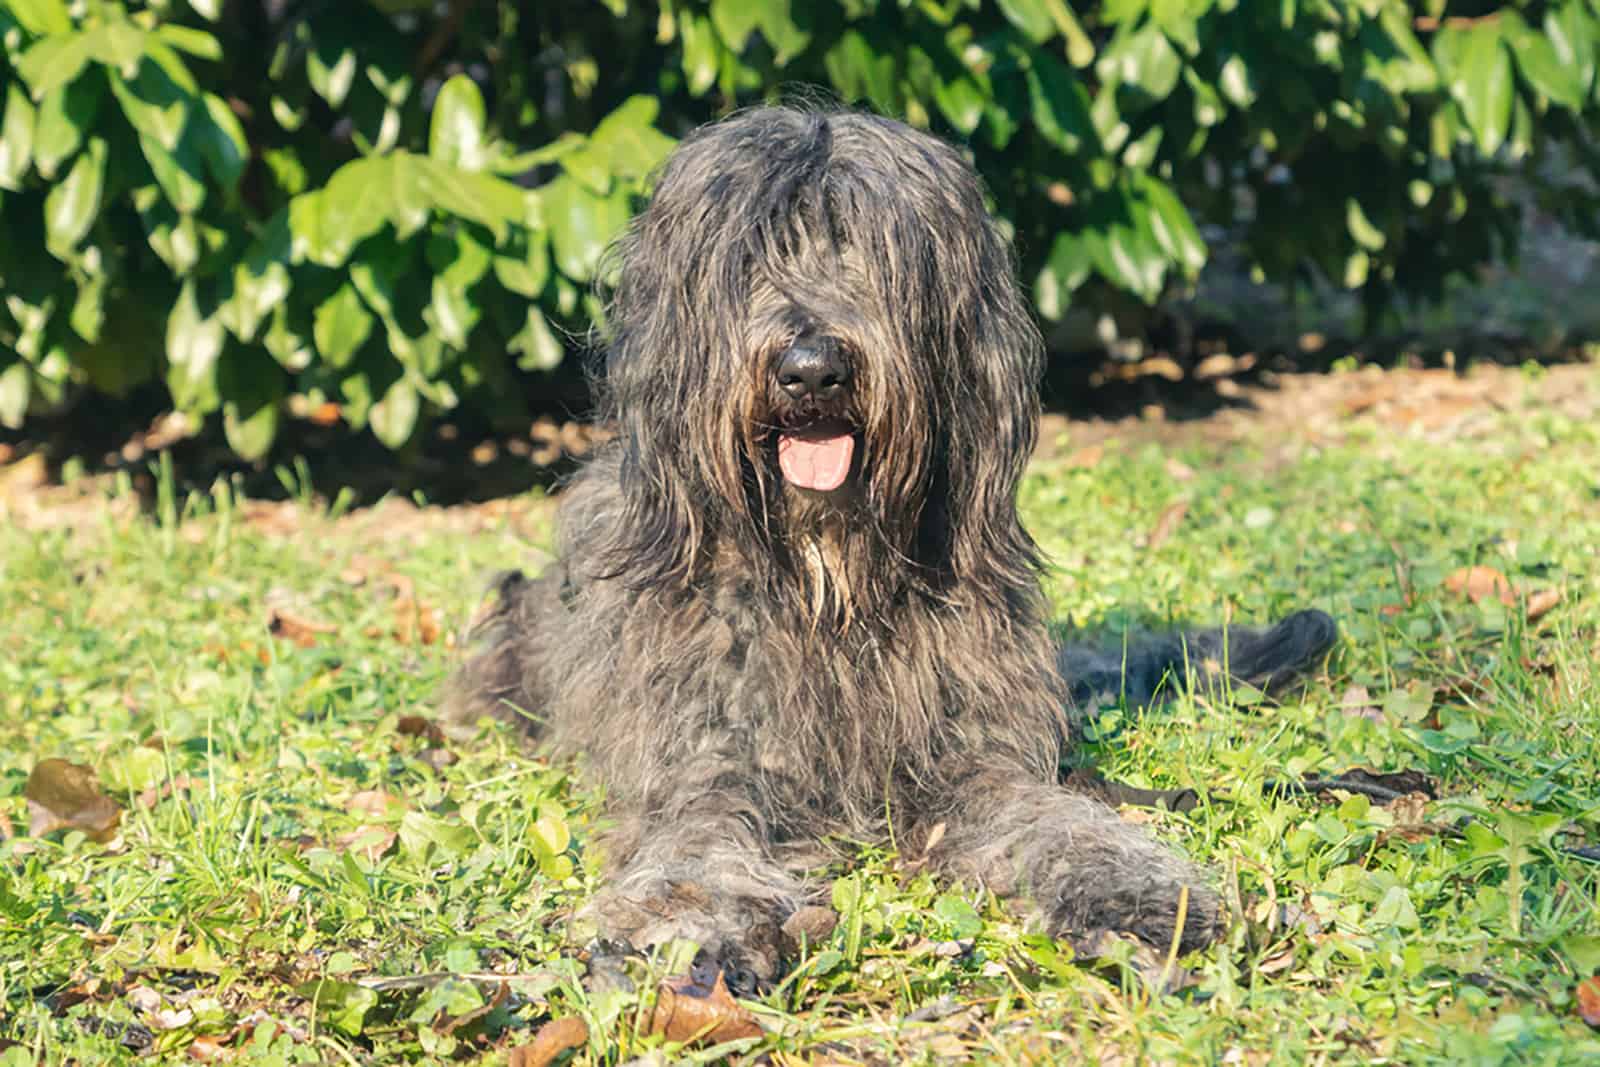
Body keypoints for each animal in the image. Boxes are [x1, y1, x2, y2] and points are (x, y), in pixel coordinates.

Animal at [451, 106, 1337, 991]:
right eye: (751, 255)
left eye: (876, 252)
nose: (812, 369)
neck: (824, 584)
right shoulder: (702, 748)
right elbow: (698, 830)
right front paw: (693, 920)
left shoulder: (968, 749)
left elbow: (1052, 815)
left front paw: (1137, 896)